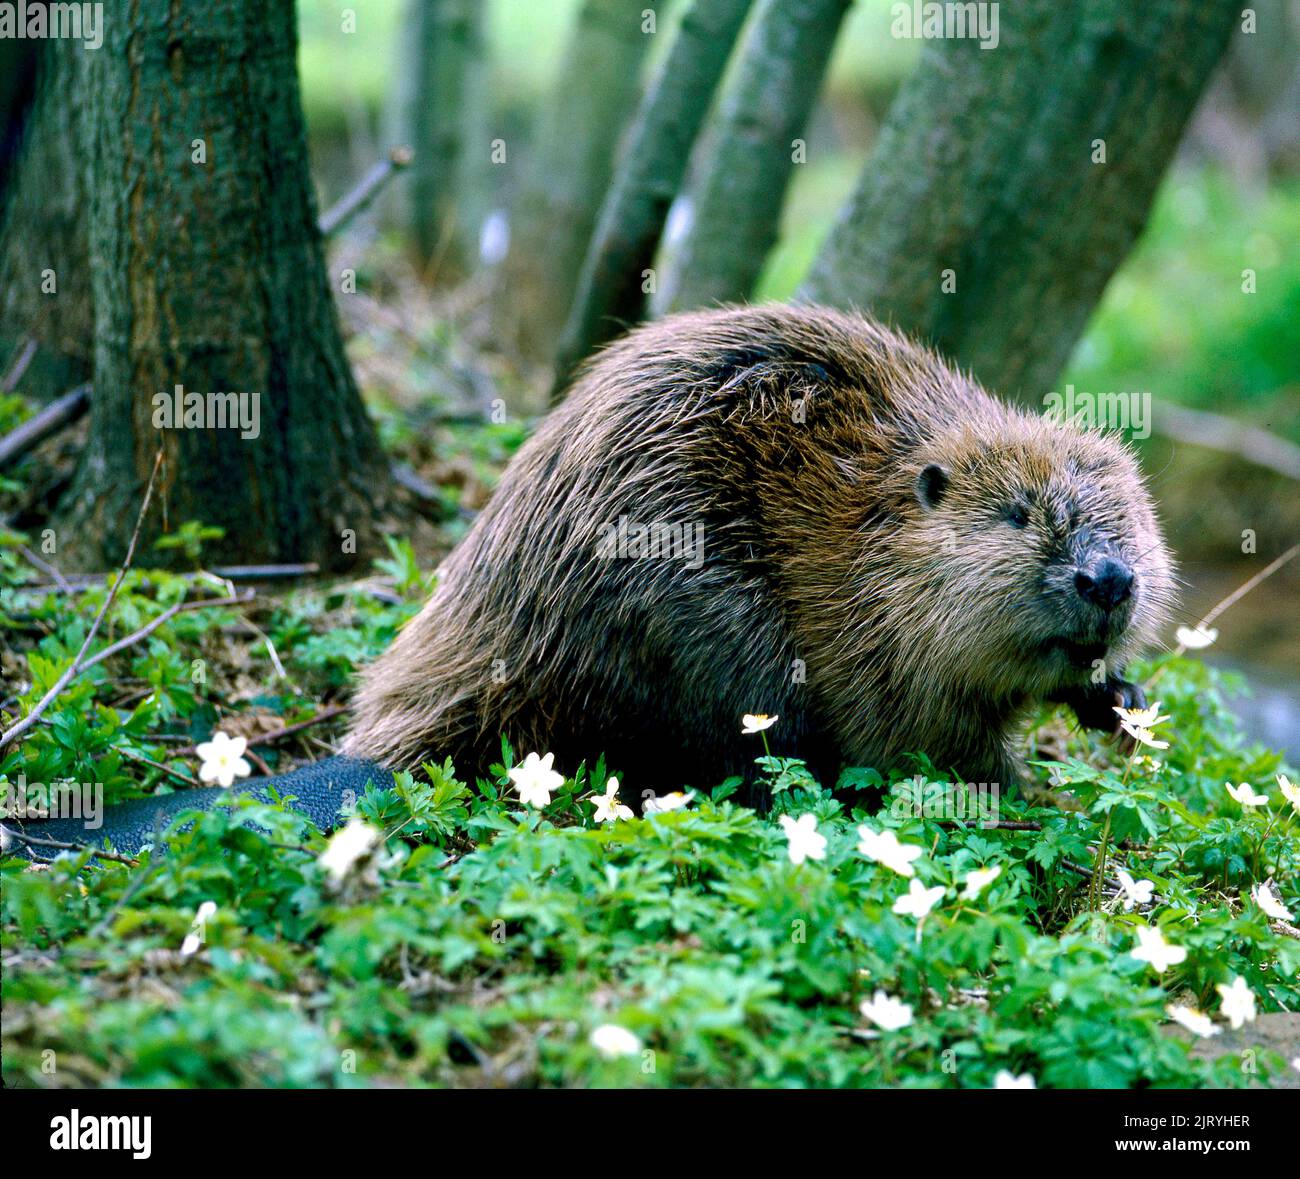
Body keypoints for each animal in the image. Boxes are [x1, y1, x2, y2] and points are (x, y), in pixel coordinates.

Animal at [340, 304, 1175, 800]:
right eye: (1017, 513)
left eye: (1130, 517)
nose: (1108, 577)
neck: (877, 522)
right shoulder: (871, 639)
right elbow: (918, 739)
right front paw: (1028, 791)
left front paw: (1120, 697)